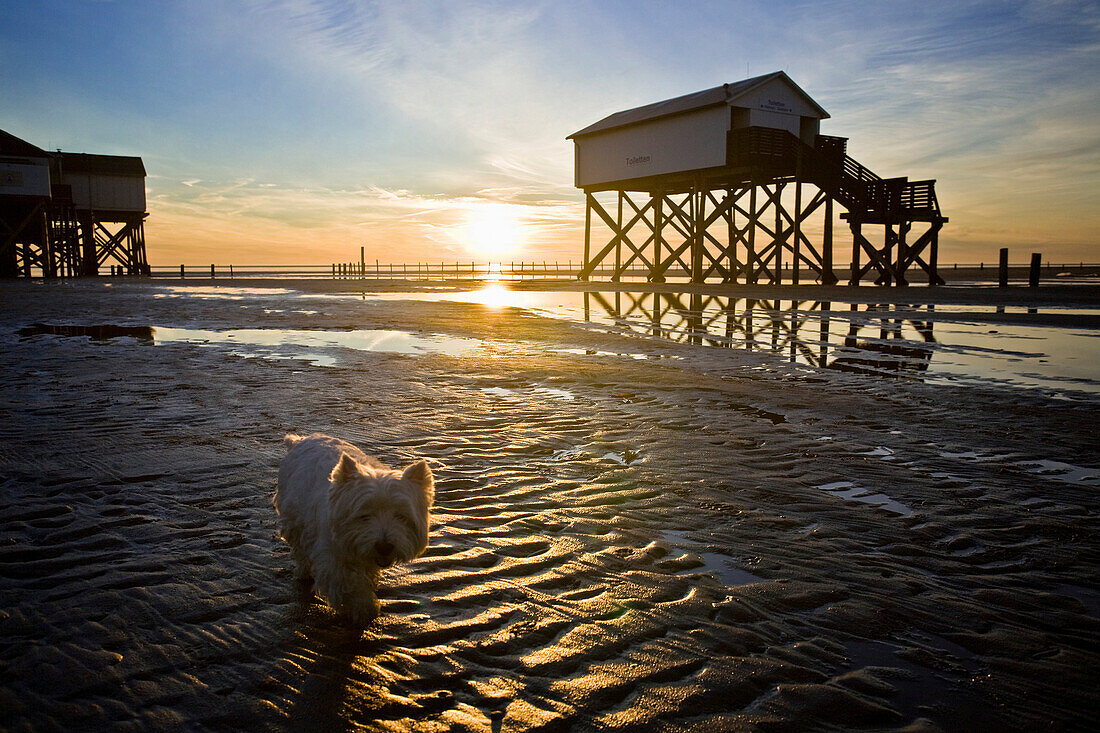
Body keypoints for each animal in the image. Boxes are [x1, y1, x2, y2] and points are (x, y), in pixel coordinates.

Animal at [272, 433, 431, 620]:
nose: (384, 547)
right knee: (299, 549)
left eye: (400, 516)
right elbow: (350, 587)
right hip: (294, 517)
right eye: (364, 515)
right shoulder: (333, 558)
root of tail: (299, 440)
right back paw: (304, 573)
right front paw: (365, 608)